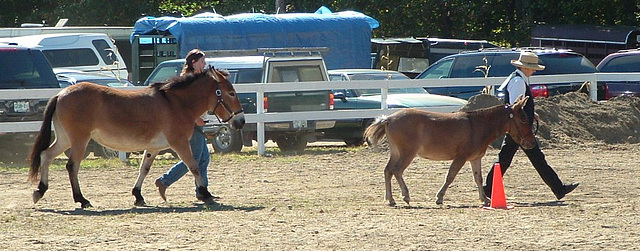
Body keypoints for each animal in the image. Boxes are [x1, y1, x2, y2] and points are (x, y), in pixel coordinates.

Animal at [27, 67, 244, 208]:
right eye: (231, 93)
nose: (240, 121)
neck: (175, 103)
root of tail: (61, 94)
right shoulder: (180, 143)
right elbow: (194, 166)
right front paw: (206, 194)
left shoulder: (153, 148)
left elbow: (144, 169)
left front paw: (138, 196)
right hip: (79, 140)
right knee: (72, 166)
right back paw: (82, 199)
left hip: (64, 139)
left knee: (46, 156)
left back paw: (40, 190)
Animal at [364, 95, 536, 207]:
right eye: (523, 119)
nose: (531, 143)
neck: (477, 126)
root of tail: (388, 119)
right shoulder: (460, 158)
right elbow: (450, 176)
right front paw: (439, 198)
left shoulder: (475, 159)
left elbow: (478, 178)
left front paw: (485, 199)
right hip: (407, 153)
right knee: (397, 170)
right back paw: (405, 196)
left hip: (396, 153)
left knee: (388, 171)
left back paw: (390, 199)